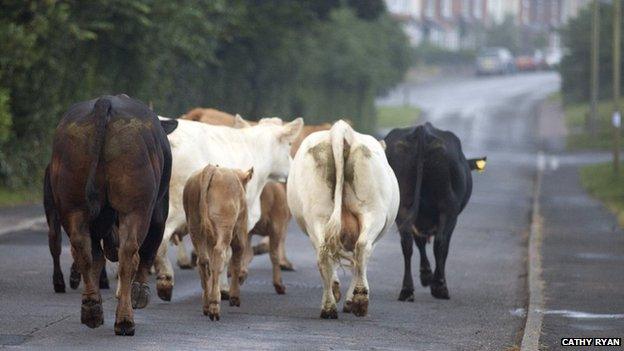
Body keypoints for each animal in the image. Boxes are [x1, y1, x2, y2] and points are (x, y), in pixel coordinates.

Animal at [44, 95, 172, 336]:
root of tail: (105, 102)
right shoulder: (160, 208)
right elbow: (148, 250)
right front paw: (140, 292)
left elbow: (96, 258)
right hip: (135, 208)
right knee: (129, 254)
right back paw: (125, 320)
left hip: (72, 205)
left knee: (83, 250)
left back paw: (91, 309)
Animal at [155, 116, 304, 302]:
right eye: (289, 144)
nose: (292, 168)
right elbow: (228, 254)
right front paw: (224, 289)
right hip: (172, 210)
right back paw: (164, 282)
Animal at [183, 165, 254, 322]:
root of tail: (211, 169)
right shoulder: (240, 232)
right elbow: (236, 262)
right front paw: (234, 297)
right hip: (225, 229)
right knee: (219, 258)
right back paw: (214, 306)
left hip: (195, 227)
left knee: (203, 262)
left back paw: (206, 305)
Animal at [286, 120, 398, 320]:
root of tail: (342, 130)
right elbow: (359, 263)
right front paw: (349, 300)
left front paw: (338, 290)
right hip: (373, 212)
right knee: (361, 247)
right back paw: (360, 300)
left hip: (317, 215)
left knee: (324, 254)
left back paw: (328, 307)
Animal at [382, 122, 486, 302]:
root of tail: (421, 130)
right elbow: (440, 247)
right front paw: (431, 279)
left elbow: (420, 243)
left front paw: (426, 275)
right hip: (447, 207)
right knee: (440, 243)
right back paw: (440, 286)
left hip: (403, 206)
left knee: (407, 244)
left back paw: (407, 290)